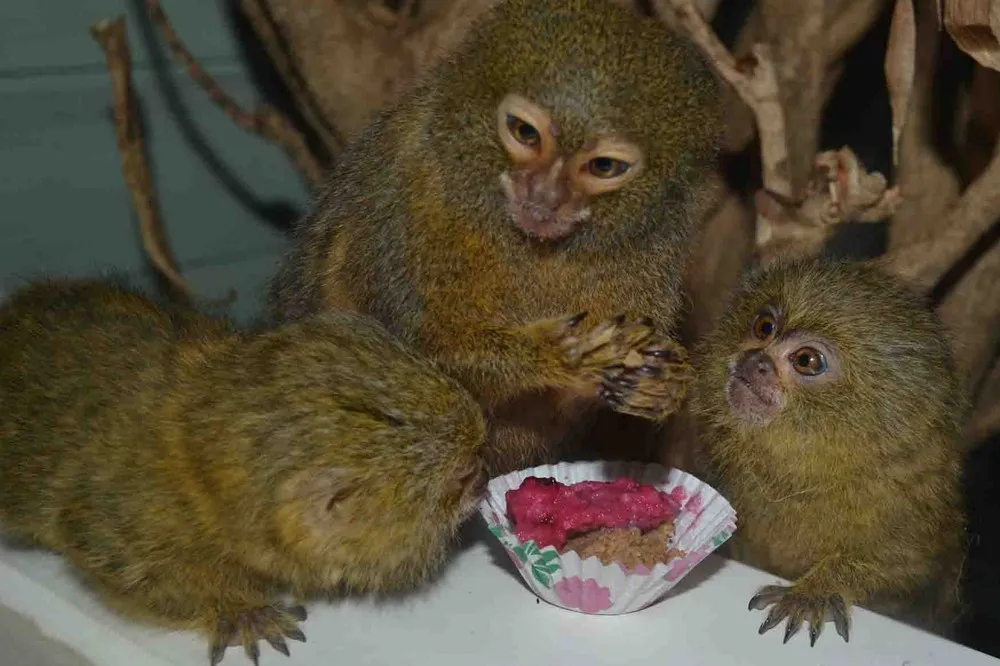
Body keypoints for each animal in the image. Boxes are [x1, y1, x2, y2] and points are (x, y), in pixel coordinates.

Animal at [266, 0, 720, 478]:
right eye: (525, 133)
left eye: (603, 167)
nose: (544, 195)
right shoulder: (413, 195)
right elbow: (416, 348)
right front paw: (560, 356)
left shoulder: (654, 248)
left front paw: (662, 384)